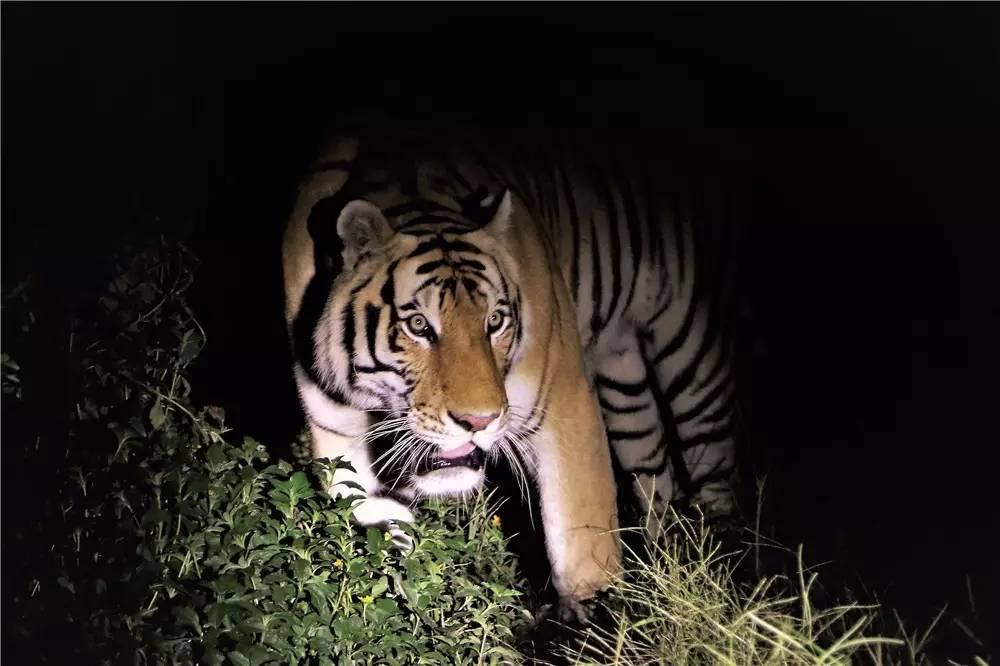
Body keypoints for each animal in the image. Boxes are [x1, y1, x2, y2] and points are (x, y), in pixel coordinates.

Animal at [282, 124, 744, 612]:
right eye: (418, 325)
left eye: (495, 321)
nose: (478, 421)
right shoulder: (338, 431)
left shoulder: (566, 404)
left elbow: (580, 542)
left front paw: (597, 616)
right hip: (622, 376)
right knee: (655, 475)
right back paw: (664, 567)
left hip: (689, 347)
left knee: (714, 469)